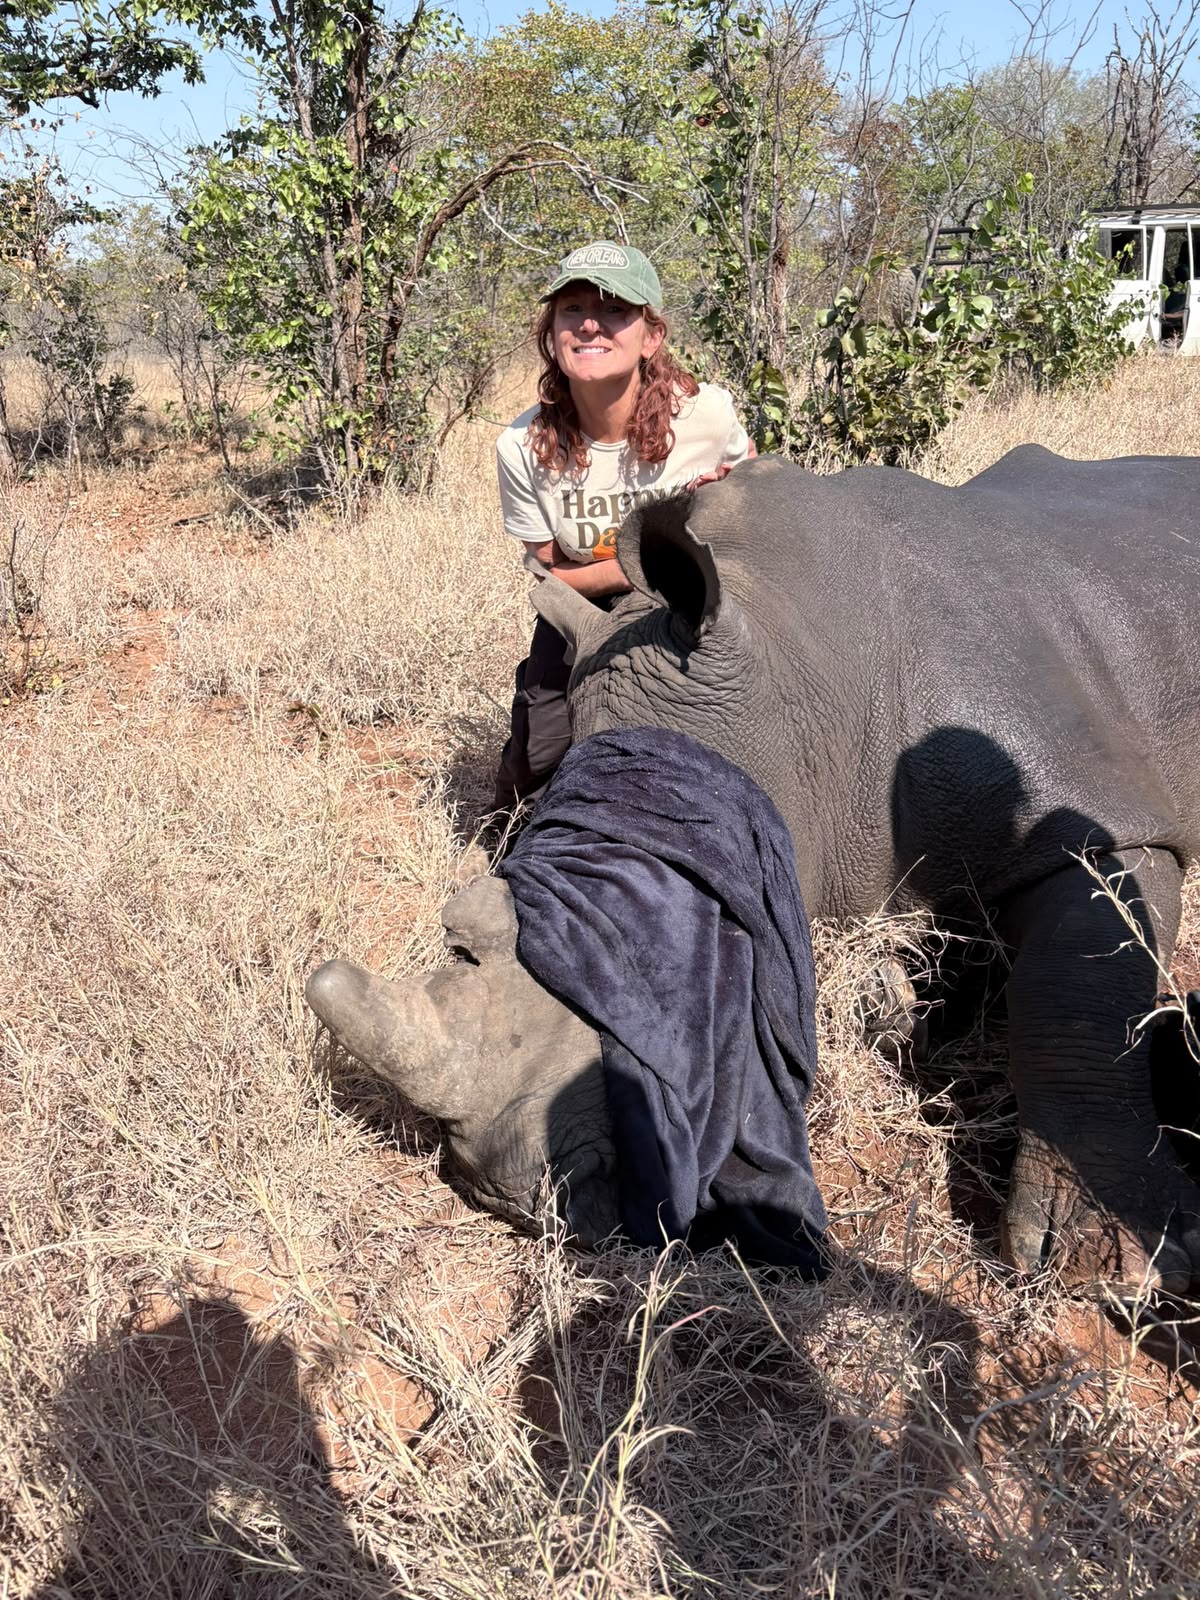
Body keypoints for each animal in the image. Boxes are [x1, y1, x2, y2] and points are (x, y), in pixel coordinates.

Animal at [309, 446, 1200, 1297]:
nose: (515, 1193)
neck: (804, 668)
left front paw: (1104, 1264)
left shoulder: (1088, 806)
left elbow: (1083, 986)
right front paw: (908, 1011)